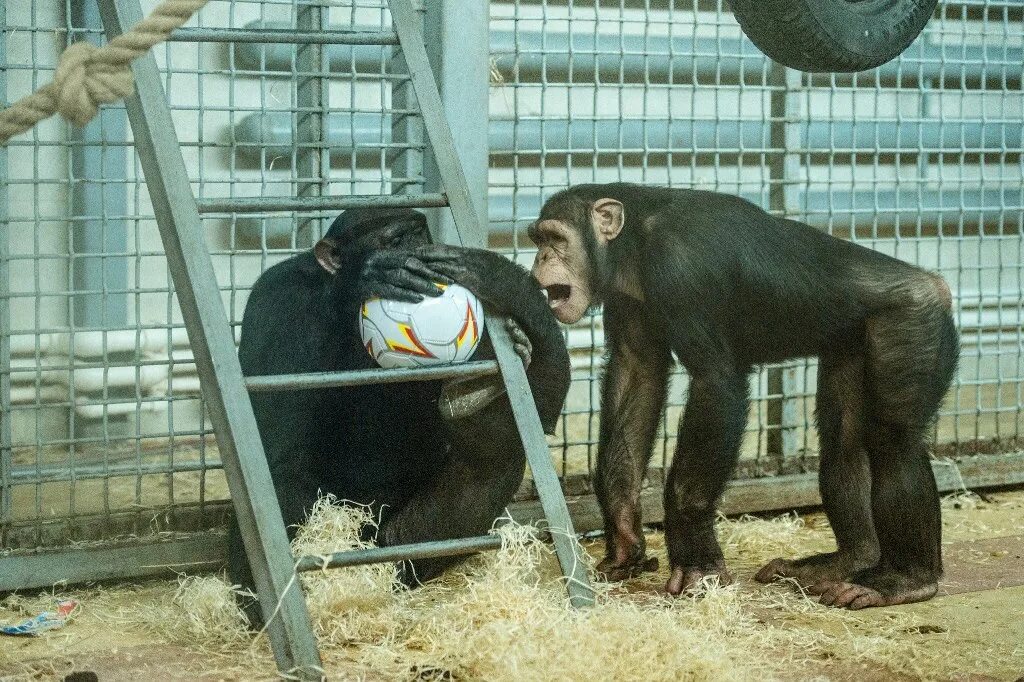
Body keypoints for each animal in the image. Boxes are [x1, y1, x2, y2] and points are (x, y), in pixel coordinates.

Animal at [227, 205, 573, 622]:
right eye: (394, 239)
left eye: (421, 233)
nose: (415, 252)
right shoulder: (278, 300)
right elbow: (274, 433)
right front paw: (367, 277)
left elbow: (541, 415)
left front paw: (503, 280)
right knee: (278, 479)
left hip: (396, 541)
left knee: (493, 457)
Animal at [528, 183, 958, 606]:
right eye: (538, 238)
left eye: (555, 238)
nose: (541, 256)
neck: (632, 243)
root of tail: (936, 285)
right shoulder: (628, 304)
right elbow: (637, 375)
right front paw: (622, 536)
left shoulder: (682, 267)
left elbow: (716, 382)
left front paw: (697, 562)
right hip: (851, 341)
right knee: (845, 439)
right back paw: (847, 560)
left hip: (913, 324)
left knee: (893, 440)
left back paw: (904, 579)